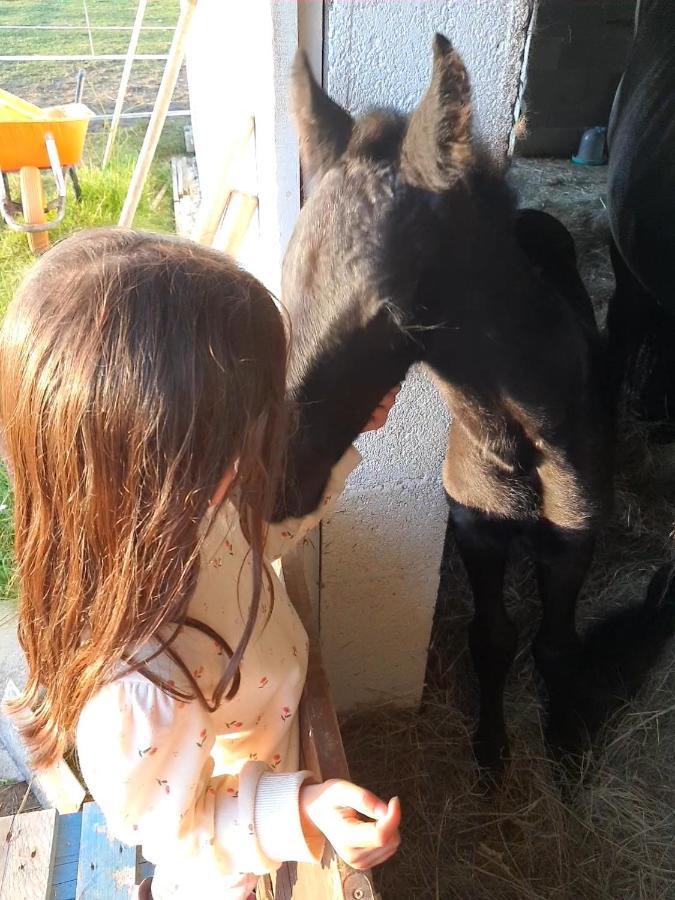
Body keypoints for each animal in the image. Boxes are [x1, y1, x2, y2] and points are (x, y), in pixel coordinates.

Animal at [276, 33, 675, 768]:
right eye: (290, 280)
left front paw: (563, 748)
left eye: (393, 308)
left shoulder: (575, 538)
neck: (515, 441)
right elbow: (493, 638)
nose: (276, 482)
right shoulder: (475, 529)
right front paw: (491, 751)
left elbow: (555, 644)